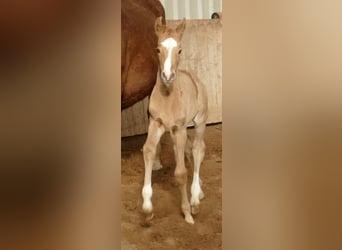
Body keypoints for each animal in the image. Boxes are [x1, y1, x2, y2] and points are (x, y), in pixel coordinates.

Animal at [142, 17, 208, 225]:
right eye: (157, 49)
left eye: (180, 50)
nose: (167, 76)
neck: (167, 97)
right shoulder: (156, 123)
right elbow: (148, 150)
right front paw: (147, 208)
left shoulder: (179, 129)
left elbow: (180, 173)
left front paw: (187, 212)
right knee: (186, 150)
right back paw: (199, 190)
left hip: (199, 121)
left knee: (197, 149)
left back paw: (195, 198)